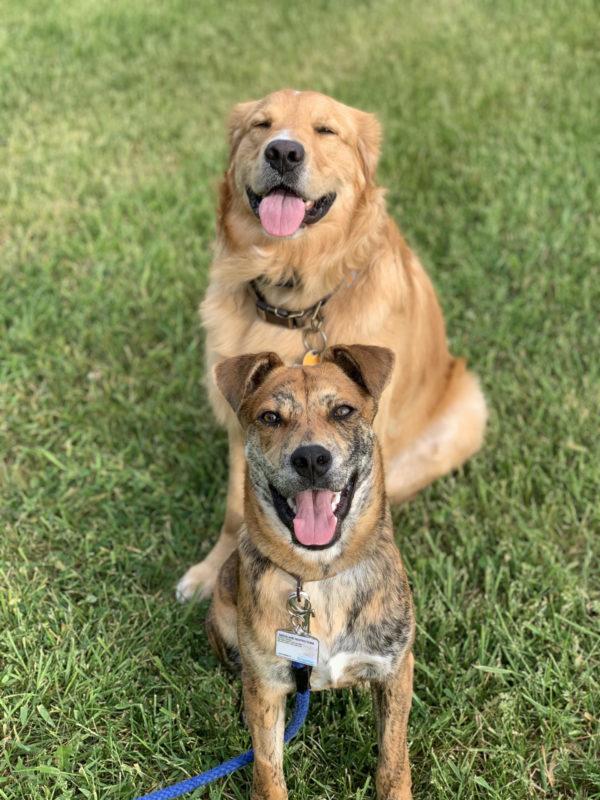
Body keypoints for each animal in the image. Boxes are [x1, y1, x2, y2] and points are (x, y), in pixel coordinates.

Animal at [209, 346, 414, 800]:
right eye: (270, 417)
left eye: (343, 411)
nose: (311, 459)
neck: (319, 575)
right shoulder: (268, 688)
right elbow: (268, 769)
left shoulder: (396, 669)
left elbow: (393, 761)